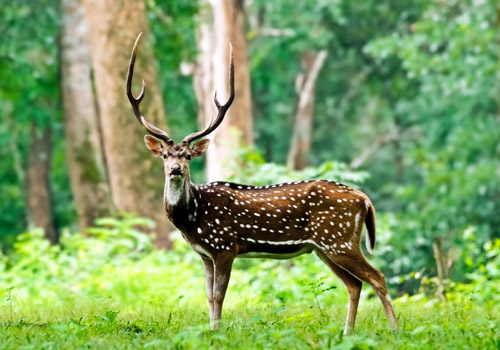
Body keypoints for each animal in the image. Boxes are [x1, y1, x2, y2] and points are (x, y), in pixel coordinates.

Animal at [126, 33, 398, 336]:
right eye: (165, 155)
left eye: (187, 155)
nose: (175, 169)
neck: (192, 217)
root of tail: (364, 199)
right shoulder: (205, 254)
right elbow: (208, 295)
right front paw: (210, 331)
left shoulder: (225, 246)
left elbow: (219, 295)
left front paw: (217, 333)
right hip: (325, 247)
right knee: (355, 284)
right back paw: (347, 333)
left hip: (339, 239)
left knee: (377, 277)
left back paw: (395, 331)